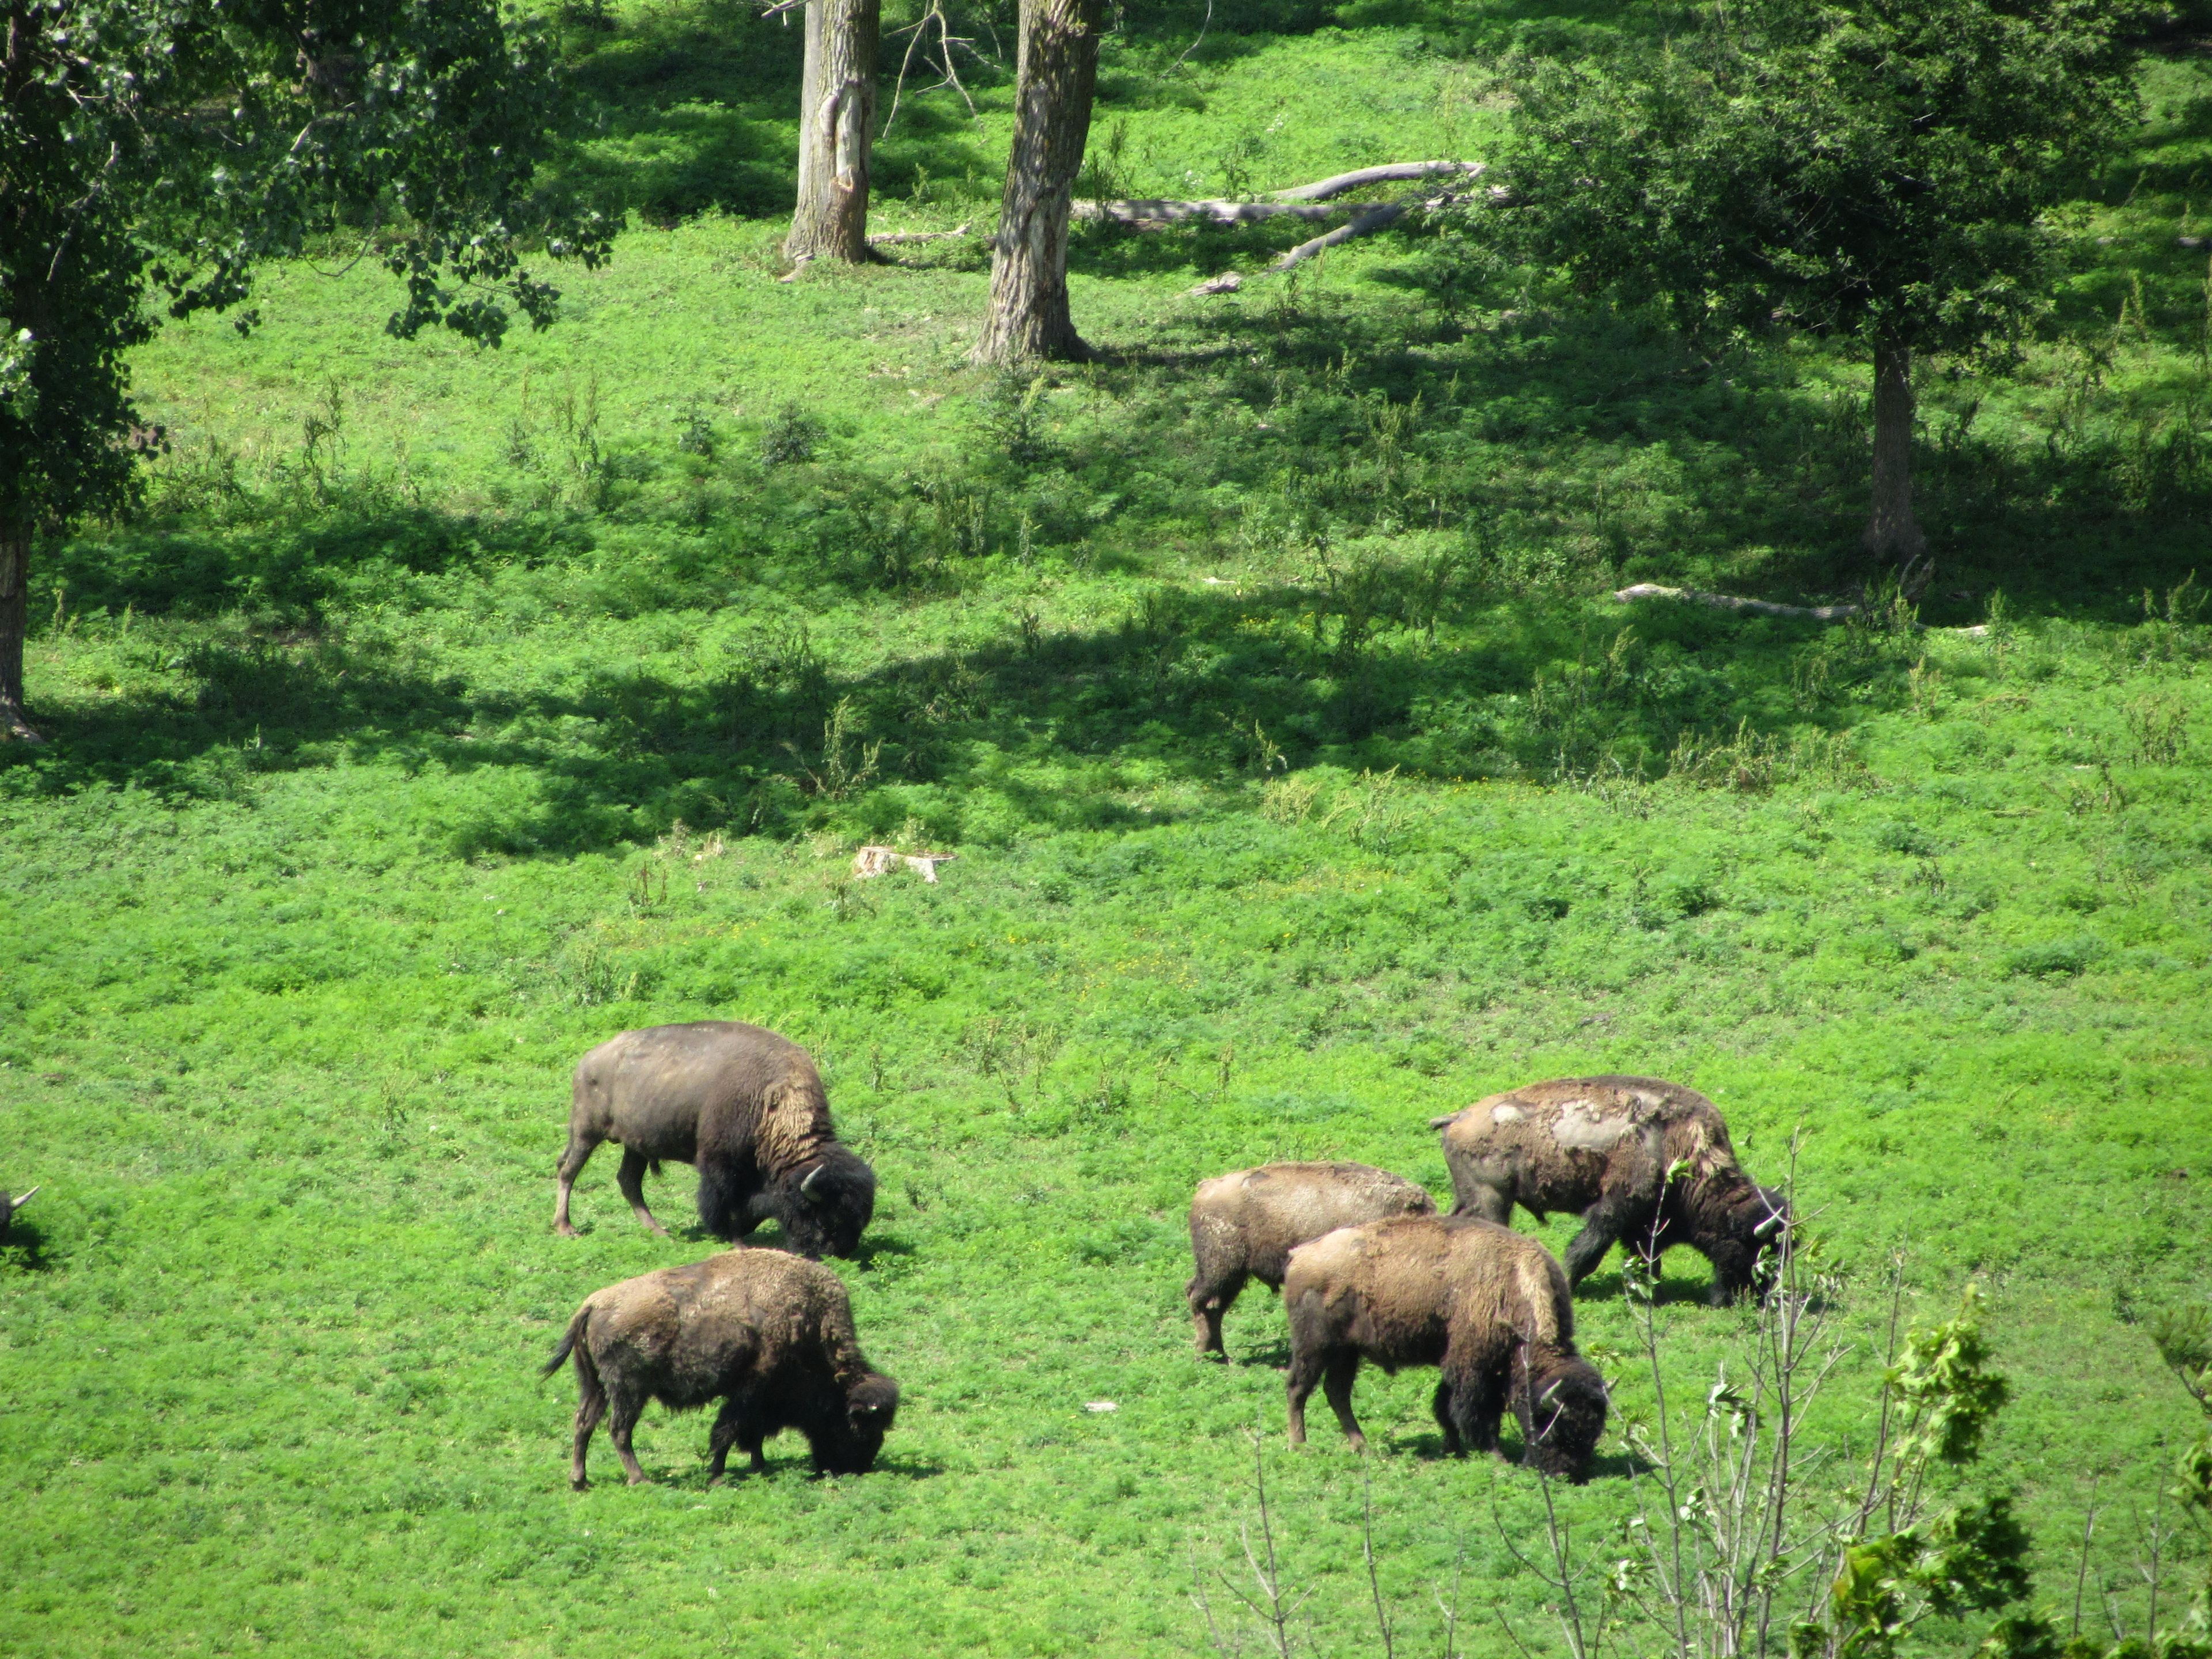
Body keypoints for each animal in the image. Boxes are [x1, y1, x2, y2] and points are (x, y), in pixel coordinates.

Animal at [542, 1248, 900, 1488]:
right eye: (859, 1426)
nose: (857, 1468)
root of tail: (594, 1304)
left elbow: (751, 1433)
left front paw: (758, 1466)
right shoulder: (750, 1390)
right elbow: (729, 1431)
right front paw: (717, 1475)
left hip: (596, 1386)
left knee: (584, 1423)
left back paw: (579, 1481)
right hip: (628, 1389)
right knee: (619, 1430)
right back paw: (639, 1479)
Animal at [555, 1021, 875, 1259]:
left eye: (860, 1215)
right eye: (821, 1215)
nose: (840, 1252)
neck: (770, 1100)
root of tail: (588, 1060)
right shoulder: (721, 1163)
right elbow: (726, 1201)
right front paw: (737, 1241)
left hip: (636, 1145)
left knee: (629, 1181)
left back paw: (660, 1232)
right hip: (587, 1131)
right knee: (569, 1170)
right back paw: (566, 1228)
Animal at [1186, 1161, 1436, 1360]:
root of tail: (1206, 1187)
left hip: (1232, 1276)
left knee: (1212, 1306)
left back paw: (1219, 1354)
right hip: (1221, 1269)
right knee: (1199, 1300)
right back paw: (1207, 1354)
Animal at [1283, 1213, 1608, 1481]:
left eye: (1593, 1433)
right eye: (1551, 1425)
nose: (1565, 1474)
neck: (1515, 1282)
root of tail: (1301, 1255)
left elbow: (1447, 1406)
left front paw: (1453, 1449)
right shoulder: (1473, 1366)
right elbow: (1474, 1412)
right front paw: (1496, 1457)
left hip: (1346, 1352)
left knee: (1337, 1393)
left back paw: (1362, 1446)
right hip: (1315, 1346)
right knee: (1298, 1388)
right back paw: (1300, 1445)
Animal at [1432, 1075, 1786, 1304]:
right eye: (1752, 1245)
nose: (1758, 1297)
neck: (1677, 1145)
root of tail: (1459, 1117)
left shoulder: (1642, 1224)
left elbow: (1646, 1259)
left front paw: (1651, 1293)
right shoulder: (1615, 1209)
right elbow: (1587, 1252)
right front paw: (1570, 1285)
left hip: (1471, 1197)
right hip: (1491, 1200)